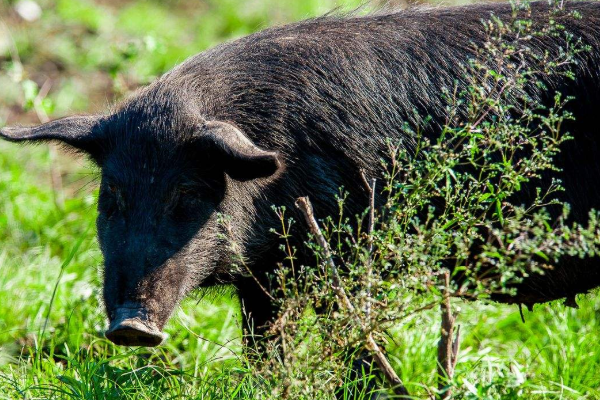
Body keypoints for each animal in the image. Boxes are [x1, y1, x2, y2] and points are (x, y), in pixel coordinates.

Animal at [3, 1, 600, 348]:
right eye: (114, 197)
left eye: (189, 193)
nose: (129, 326)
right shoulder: (263, 280)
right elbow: (265, 349)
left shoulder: (357, 252)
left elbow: (357, 342)